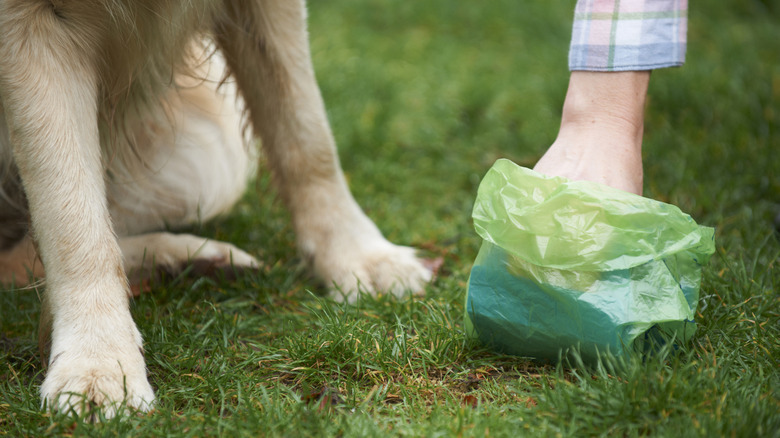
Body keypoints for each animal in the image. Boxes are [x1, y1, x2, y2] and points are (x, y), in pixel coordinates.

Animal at [0, 0, 432, 418]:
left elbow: (306, 134)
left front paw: (358, 256)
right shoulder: (27, 26)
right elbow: (72, 219)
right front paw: (99, 362)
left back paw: (195, 261)